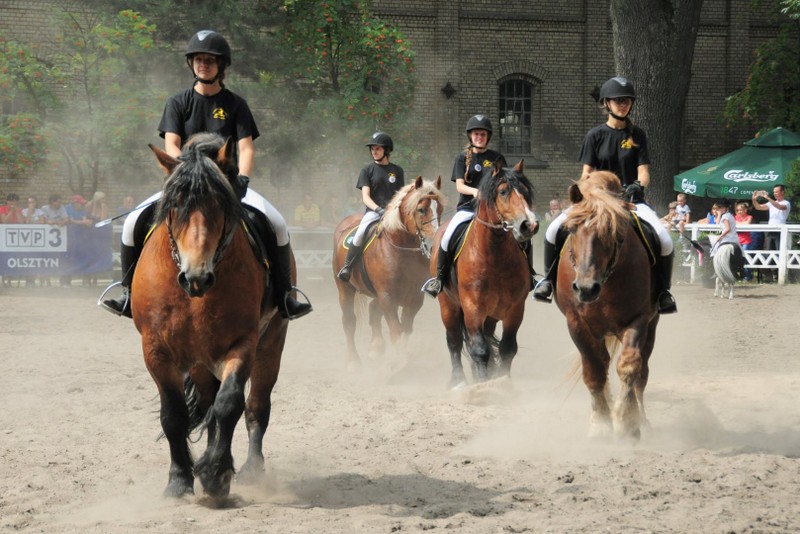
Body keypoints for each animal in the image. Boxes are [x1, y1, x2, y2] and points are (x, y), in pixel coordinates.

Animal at [133, 133, 290, 498]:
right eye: (175, 206)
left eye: (220, 205)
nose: (197, 277)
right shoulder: (155, 350)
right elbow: (174, 415)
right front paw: (179, 480)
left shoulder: (243, 344)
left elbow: (230, 404)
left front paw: (216, 473)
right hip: (199, 361)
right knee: (207, 405)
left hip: (271, 343)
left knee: (255, 407)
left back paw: (251, 469)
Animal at [330, 176, 444, 368]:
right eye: (421, 209)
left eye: (440, 209)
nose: (434, 241)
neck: (401, 249)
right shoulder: (388, 297)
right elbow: (396, 330)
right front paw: (399, 363)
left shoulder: (414, 298)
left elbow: (406, 329)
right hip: (345, 290)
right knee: (349, 322)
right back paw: (353, 361)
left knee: (373, 311)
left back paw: (375, 348)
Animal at [432, 161, 536, 392]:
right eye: (503, 191)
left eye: (525, 191)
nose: (529, 225)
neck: (494, 252)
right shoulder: (473, 307)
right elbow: (479, 348)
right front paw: (483, 386)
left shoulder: (515, 308)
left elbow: (507, 348)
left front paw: (502, 382)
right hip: (448, 305)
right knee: (454, 340)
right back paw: (458, 380)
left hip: (492, 314)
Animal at [552, 171, 660, 440]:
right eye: (571, 229)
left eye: (614, 234)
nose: (586, 288)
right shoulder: (576, 323)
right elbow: (594, 372)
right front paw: (601, 423)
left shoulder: (638, 320)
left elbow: (630, 367)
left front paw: (626, 422)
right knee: (603, 363)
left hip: (651, 326)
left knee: (641, 374)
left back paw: (641, 420)